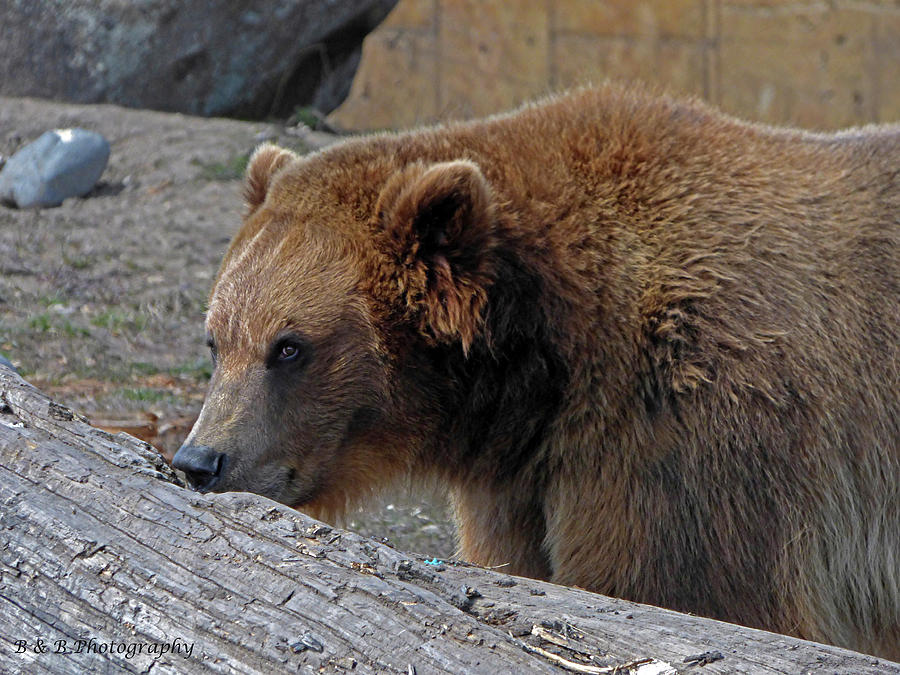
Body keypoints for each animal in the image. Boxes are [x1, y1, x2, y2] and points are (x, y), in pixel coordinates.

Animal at [172, 82, 896, 656]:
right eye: (217, 341)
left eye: (290, 347)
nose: (199, 460)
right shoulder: (519, 483)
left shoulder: (687, 435)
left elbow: (691, 591)